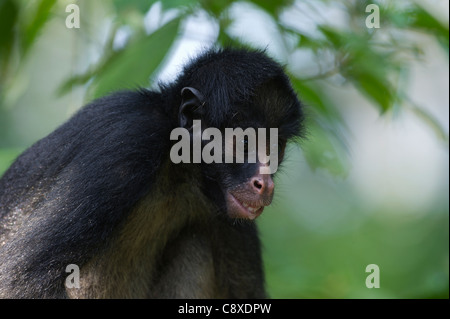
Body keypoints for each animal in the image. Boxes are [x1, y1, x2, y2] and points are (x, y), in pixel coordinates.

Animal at [0, 47, 304, 300]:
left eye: (276, 148)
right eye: (245, 142)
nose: (264, 183)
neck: (178, 175)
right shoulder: (133, 138)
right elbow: (19, 282)